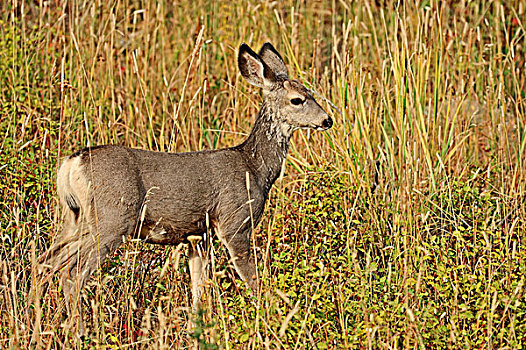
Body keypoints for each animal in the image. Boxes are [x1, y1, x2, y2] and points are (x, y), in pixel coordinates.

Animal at [39, 41, 334, 330]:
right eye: (297, 99)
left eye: (310, 92)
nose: (327, 120)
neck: (254, 168)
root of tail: (72, 164)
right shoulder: (235, 223)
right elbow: (254, 282)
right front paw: (270, 318)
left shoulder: (198, 236)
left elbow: (198, 289)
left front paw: (196, 328)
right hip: (113, 220)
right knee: (72, 273)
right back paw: (79, 332)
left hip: (76, 219)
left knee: (45, 261)